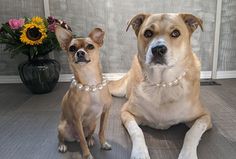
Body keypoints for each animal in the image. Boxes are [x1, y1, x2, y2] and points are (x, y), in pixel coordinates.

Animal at [55, 26, 111, 159]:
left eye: (90, 46)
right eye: (72, 48)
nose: (80, 52)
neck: (90, 83)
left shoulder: (105, 112)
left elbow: (102, 131)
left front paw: (103, 143)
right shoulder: (77, 119)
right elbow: (82, 141)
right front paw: (87, 155)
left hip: (92, 125)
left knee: (88, 135)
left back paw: (90, 139)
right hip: (62, 127)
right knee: (64, 138)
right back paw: (62, 145)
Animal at [109, 12, 212, 159]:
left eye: (175, 33)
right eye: (148, 33)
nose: (158, 49)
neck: (162, 84)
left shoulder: (205, 116)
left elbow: (192, 133)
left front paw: (188, 154)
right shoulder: (126, 112)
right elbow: (137, 131)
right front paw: (140, 153)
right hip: (118, 90)